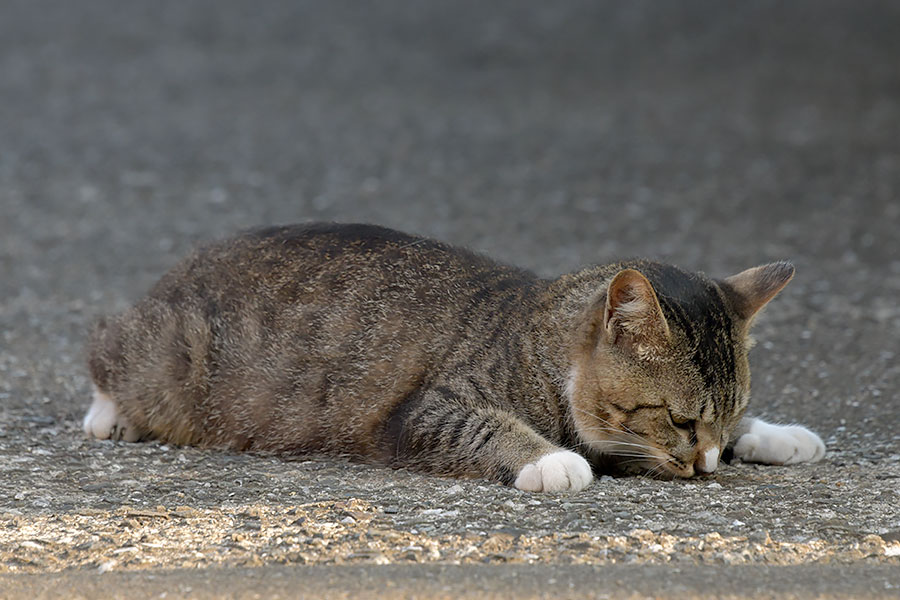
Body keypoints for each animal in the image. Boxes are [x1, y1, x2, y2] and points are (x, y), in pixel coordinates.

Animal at [82, 223, 824, 490]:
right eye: (678, 419)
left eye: (724, 417)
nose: (705, 463)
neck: (539, 344)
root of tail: (183, 266)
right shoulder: (422, 410)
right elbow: (486, 425)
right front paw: (552, 460)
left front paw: (776, 434)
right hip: (164, 356)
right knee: (105, 351)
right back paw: (107, 415)